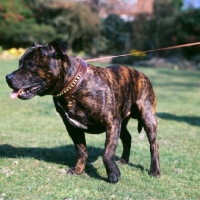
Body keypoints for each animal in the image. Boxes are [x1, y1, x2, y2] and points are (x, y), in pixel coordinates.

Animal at [5, 41, 160, 184]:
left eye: (31, 64)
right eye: (19, 63)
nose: (7, 77)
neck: (73, 86)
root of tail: (141, 74)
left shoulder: (112, 123)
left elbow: (107, 153)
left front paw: (113, 174)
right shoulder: (73, 127)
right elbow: (81, 151)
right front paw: (78, 169)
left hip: (147, 117)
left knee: (154, 144)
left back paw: (155, 171)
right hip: (122, 122)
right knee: (127, 138)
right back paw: (123, 160)